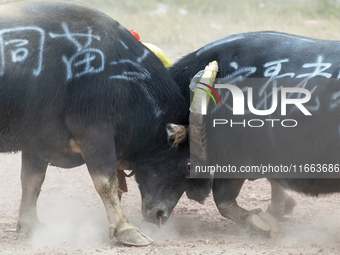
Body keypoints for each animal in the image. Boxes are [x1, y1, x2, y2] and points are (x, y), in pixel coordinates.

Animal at [0, 0, 211, 246]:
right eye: (188, 166)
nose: (161, 215)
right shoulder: (96, 135)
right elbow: (106, 183)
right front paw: (126, 229)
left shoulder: (37, 141)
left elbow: (32, 180)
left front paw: (31, 225)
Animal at [170, 32, 340, 237]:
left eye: (187, 166)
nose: (154, 213)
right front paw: (278, 210)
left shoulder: (233, 160)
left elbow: (224, 201)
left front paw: (261, 222)